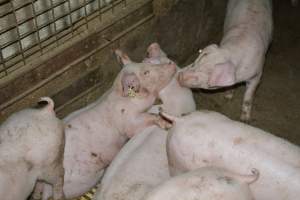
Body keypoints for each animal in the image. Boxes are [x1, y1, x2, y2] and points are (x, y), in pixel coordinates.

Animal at [36, 50, 177, 200]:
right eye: (146, 72)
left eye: (143, 63)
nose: (171, 63)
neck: (128, 99)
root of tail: (47, 186)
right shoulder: (128, 122)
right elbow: (140, 123)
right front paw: (166, 124)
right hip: (84, 179)